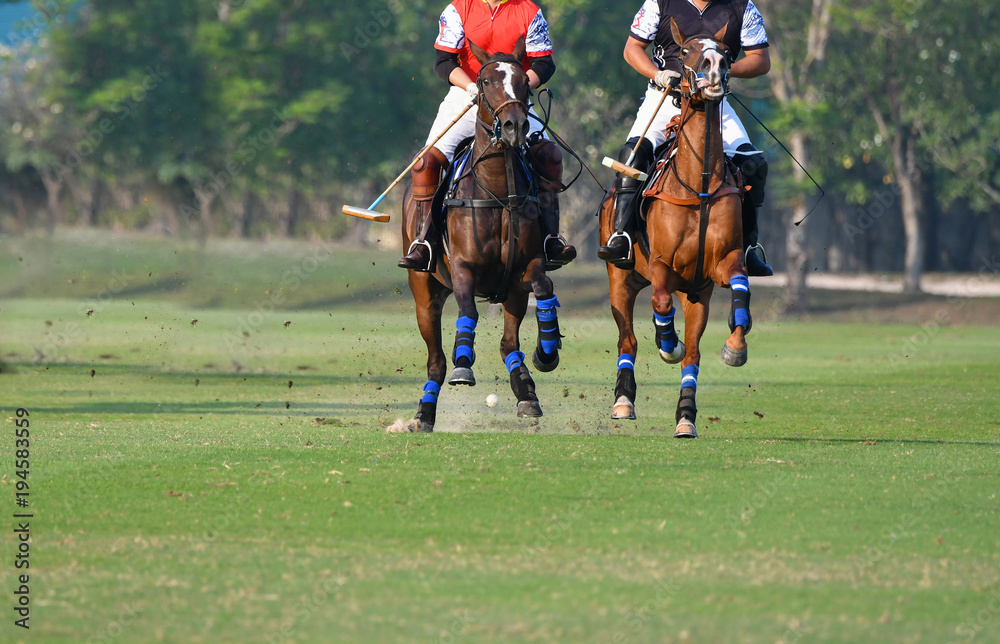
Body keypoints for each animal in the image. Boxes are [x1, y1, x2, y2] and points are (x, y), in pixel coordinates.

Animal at [394, 39, 564, 432]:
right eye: (485, 82)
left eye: (524, 81)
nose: (515, 126)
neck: (499, 191)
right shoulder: (463, 268)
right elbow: (468, 310)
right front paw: (464, 364)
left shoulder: (525, 269)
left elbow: (544, 287)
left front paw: (546, 351)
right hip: (424, 292)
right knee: (435, 360)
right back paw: (424, 414)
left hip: (512, 294)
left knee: (508, 344)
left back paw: (527, 394)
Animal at [596, 20, 752, 440]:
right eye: (685, 51)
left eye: (726, 52)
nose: (714, 68)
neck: (698, 186)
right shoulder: (662, 264)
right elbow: (662, 304)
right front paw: (668, 343)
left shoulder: (721, 265)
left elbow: (741, 290)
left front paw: (735, 346)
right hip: (620, 277)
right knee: (628, 338)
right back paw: (624, 399)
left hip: (696, 293)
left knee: (693, 352)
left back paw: (686, 416)